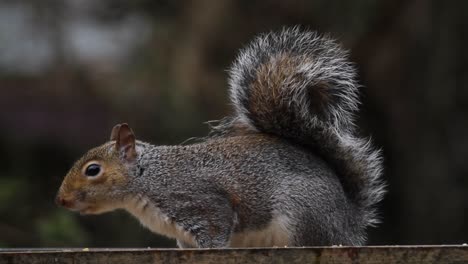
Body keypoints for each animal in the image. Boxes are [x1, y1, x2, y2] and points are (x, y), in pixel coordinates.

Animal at [56, 27, 384, 248]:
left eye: (93, 170)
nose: (61, 200)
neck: (148, 179)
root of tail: (348, 223)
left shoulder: (203, 204)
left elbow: (215, 233)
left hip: (302, 218)